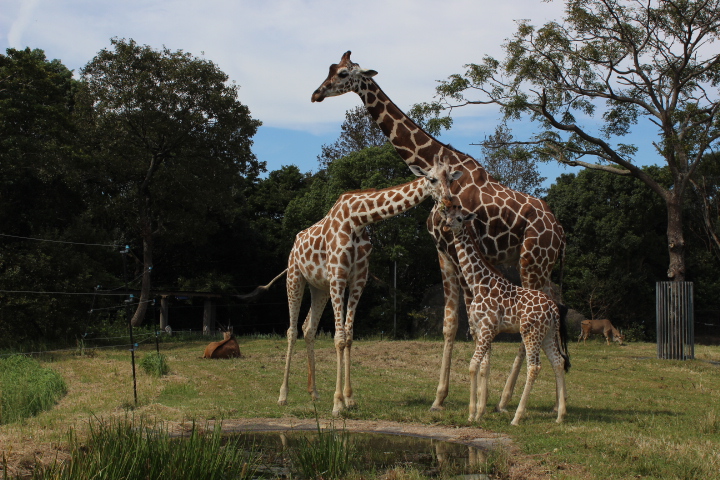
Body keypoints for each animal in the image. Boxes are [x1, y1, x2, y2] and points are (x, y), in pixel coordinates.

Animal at [278, 158, 458, 416]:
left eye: (452, 179)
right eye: (432, 179)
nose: (449, 202)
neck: (359, 220)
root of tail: (295, 242)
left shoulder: (358, 280)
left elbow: (349, 336)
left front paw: (348, 398)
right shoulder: (338, 276)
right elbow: (339, 337)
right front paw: (337, 404)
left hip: (319, 287)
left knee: (308, 327)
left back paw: (314, 393)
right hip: (295, 276)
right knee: (292, 330)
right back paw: (283, 396)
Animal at [312, 50, 564, 410]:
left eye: (344, 74)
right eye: (330, 69)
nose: (316, 93)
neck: (439, 162)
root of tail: (560, 232)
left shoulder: (462, 248)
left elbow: (473, 322)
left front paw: (480, 399)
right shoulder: (442, 252)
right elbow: (449, 325)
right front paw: (440, 398)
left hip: (532, 261)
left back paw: (505, 401)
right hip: (538, 266)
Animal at [442, 204, 572, 426]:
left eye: (459, 218)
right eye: (447, 215)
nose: (448, 226)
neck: (477, 282)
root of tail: (554, 310)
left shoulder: (487, 328)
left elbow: (473, 365)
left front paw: (471, 413)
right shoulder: (480, 329)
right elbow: (484, 366)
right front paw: (479, 412)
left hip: (531, 332)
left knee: (534, 366)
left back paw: (517, 417)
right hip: (546, 334)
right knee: (558, 362)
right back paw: (560, 416)